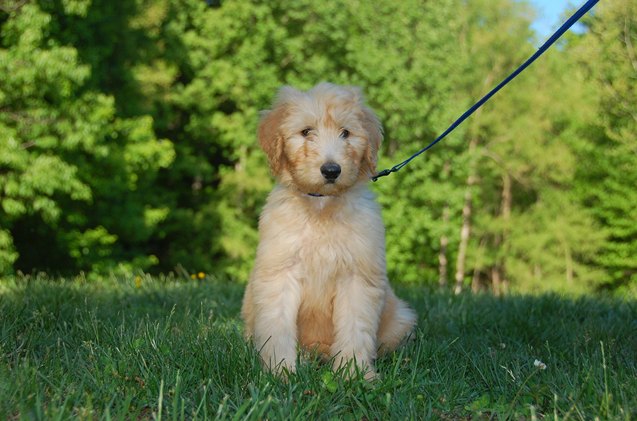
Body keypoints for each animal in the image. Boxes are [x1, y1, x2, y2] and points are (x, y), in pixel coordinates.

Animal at [241, 82, 414, 378]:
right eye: (306, 131)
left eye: (346, 133)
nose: (331, 170)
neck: (321, 206)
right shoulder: (279, 272)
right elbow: (277, 327)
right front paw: (280, 371)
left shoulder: (357, 277)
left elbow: (355, 328)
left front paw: (354, 374)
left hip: (400, 318)